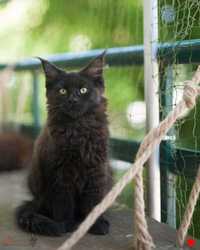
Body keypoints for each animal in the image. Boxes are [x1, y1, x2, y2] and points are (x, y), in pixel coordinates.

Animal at [15, 52, 112, 236]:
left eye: (83, 90)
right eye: (62, 91)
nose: (73, 99)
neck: (77, 129)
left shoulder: (96, 170)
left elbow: (93, 202)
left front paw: (95, 224)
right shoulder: (59, 173)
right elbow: (64, 203)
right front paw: (66, 225)